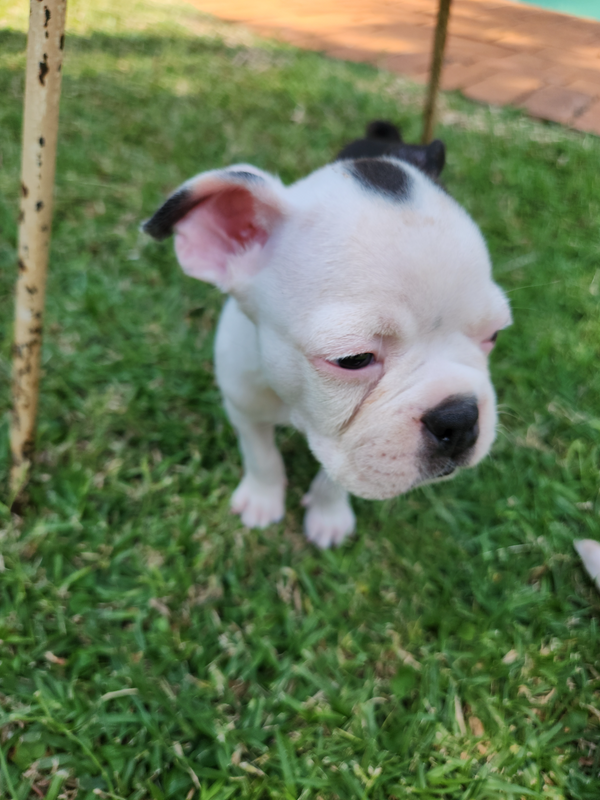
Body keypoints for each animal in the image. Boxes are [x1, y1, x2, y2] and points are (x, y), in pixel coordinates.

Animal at [144, 123, 510, 552]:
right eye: (353, 360)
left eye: (493, 335)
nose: (460, 418)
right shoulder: (243, 405)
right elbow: (261, 456)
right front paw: (263, 500)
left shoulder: (351, 448)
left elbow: (334, 479)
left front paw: (328, 515)